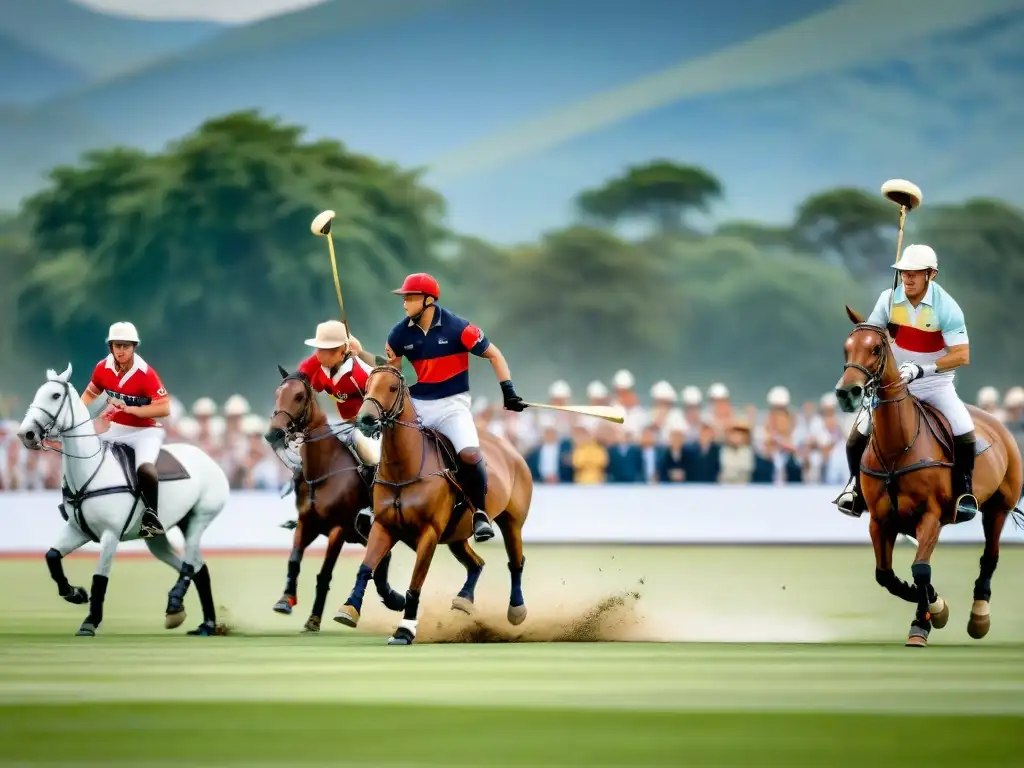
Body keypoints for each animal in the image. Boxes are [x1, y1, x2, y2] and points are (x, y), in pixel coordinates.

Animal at [17, 364, 231, 638]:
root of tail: (208, 457)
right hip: (160, 537)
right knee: (197, 567)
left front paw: (90, 621)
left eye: (55, 395)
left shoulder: (110, 534)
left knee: (191, 563)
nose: (26, 434)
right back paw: (205, 623)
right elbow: (51, 557)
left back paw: (177, 605)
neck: (89, 469)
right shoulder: (77, 529)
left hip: (199, 517)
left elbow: (100, 579)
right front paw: (75, 594)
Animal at [264, 370, 407, 634]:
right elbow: (294, 560)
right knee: (383, 561)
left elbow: (324, 574)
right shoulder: (306, 523)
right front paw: (285, 600)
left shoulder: (338, 529)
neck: (324, 470)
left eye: (299, 396)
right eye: (278, 393)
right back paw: (394, 598)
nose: (273, 433)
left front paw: (313, 619)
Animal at [333, 364, 532, 647]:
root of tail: (512, 451)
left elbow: (416, 582)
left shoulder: (429, 532)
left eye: (392, 387)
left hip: (511, 522)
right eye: (367, 385)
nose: (366, 419)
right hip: (457, 535)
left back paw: (516, 609)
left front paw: (405, 630)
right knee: (477, 563)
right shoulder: (384, 526)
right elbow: (366, 567)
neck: (403, 467)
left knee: (516, 561)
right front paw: (349, 608)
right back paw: (463, 599)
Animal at [835, 307, 1019, 651]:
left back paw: (979, 617)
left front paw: (924, 621)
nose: (846, 393)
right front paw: (933, 606)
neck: (898, 446)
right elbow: (887, 575)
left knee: (990, 557)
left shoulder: (930, 514)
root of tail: (997, 424)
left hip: (999, 507)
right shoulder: (881, 520)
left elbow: (920, 570)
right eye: (846, 347)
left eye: (876, 348)